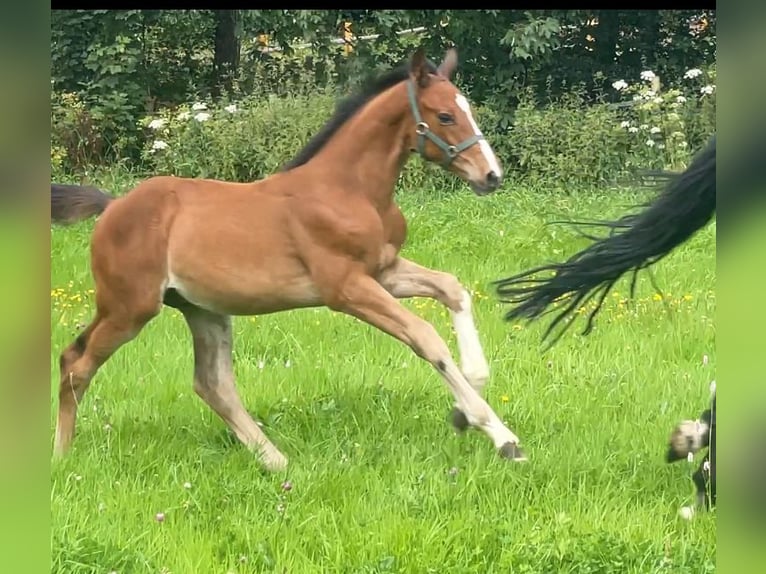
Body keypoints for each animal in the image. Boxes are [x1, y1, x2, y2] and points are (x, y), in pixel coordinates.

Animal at [49, 48, 528, 472]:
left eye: (468, 110)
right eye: (445, 116)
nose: (491, 175)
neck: (349, 190)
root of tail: (113, 206)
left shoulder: (383, 271)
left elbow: (452, 288)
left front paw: (468, 403)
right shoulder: (345, 287)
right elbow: (425, 336)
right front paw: (498, 433)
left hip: (202, 309)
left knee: (212, 384)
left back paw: (275, 461)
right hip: (129, 307)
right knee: (75, 363)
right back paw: (61, 457)